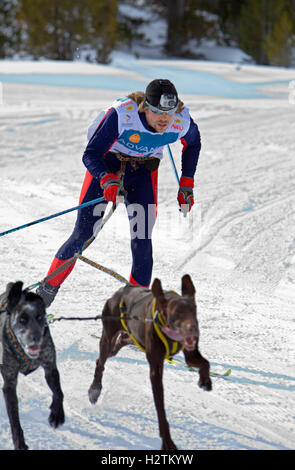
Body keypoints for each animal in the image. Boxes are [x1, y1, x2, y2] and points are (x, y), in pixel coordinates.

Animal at [88, 274, 213, 450]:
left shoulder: (190, 354)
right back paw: (95, 389)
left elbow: (204, 363)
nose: (193, 329)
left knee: (119, 344)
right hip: (108, 336)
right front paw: (167, 441)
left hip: (131, 338)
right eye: (176, 313)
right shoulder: (156, 369)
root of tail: (119, 292)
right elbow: (160, 408)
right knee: (101, 361)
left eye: (194, 309)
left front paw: (205, 381)